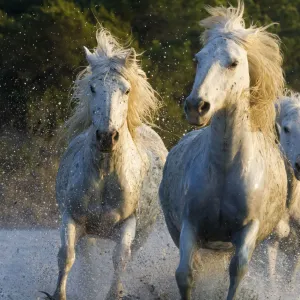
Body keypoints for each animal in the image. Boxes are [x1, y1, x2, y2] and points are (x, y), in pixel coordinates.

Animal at [43, 27, 168, 300]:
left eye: (126, 90)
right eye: (92, 87)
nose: (107, 137)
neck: (105, 172)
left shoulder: (128, 224)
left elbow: (120, 259)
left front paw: (115, 292)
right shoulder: (72, 217)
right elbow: (67, 256)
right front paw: (60, 293)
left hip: (143, 233)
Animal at [161, 2, 288, 300]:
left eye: (233, 63)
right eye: (198, 59)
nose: (196, 107)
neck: (225, 167)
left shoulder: (248, 229)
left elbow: (236, 272)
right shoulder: (190, 224)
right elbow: (185, 274)